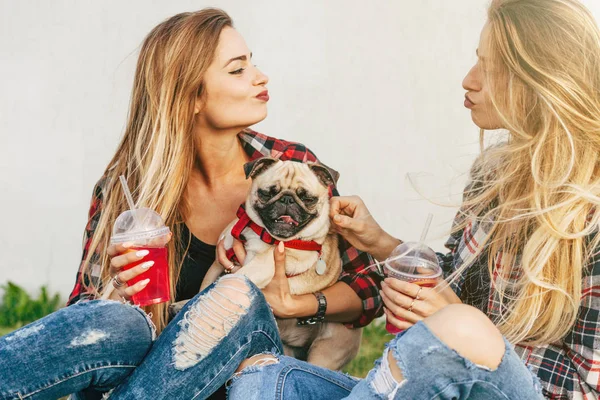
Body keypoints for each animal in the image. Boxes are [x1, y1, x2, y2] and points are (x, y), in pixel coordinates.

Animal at [199, 158, 364, 370]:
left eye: (307, 198)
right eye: (267, 193)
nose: (287, 200)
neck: (264, 234)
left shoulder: (265, 264)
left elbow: (236, 278)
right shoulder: (218, 263)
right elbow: (205, 286)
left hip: (327, 348)